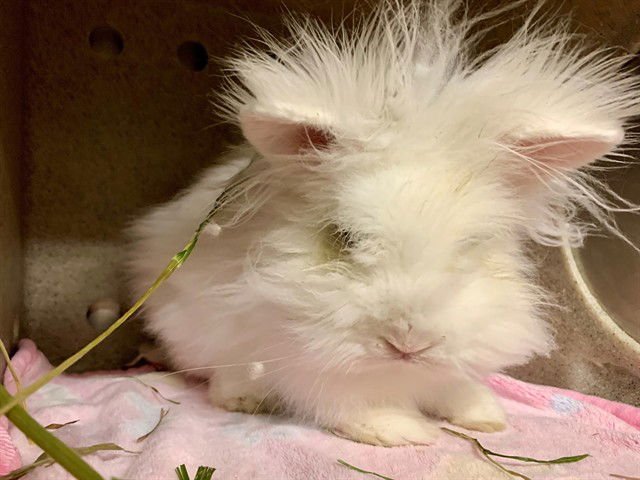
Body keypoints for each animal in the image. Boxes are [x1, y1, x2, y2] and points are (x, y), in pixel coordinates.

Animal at [126, 0, 640, 446]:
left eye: (473, 246)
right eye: (343, 238)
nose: (410, 341)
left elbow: (454, 386)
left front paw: (484, 416)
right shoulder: (303, 363)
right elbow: (348, 401)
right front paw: (403, 431)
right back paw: (242, 396)